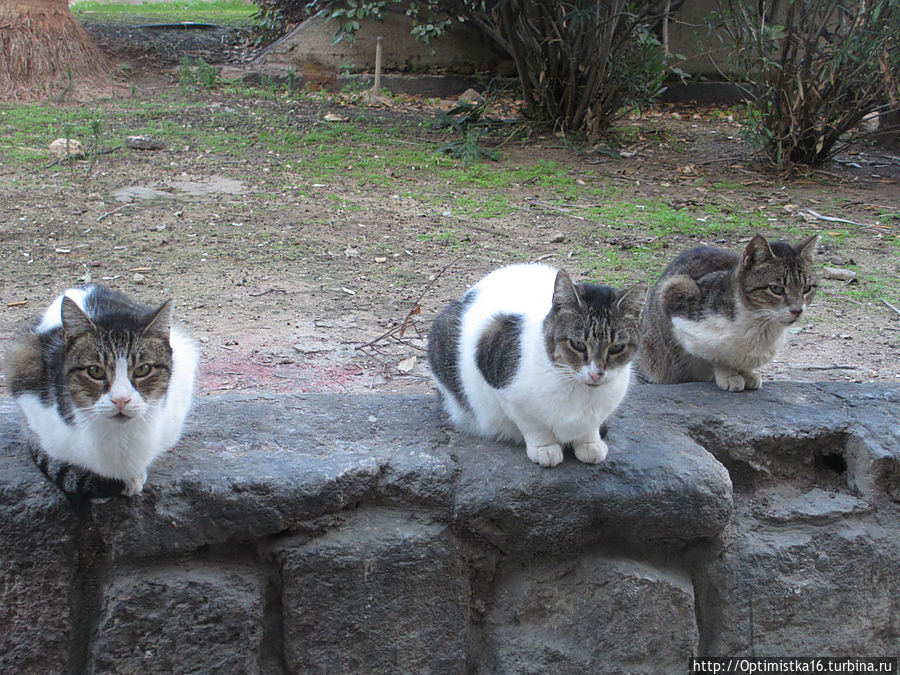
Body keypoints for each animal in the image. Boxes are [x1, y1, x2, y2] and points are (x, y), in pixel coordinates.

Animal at [428, 266, 644, 470]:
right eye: (578, 344)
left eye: (616, 347)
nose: (596, 373)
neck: (578, 390)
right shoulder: (505, 390)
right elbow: (534, 426)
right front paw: (545, 448)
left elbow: (591, 427)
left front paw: (589, 443)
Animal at [636, 235, 820, 390]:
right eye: (776, 289)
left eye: (806, 288)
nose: (797, 310)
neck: (760, 324)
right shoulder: (674, 295)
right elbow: (717, 355)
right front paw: (729, 375)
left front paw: (746, 373)